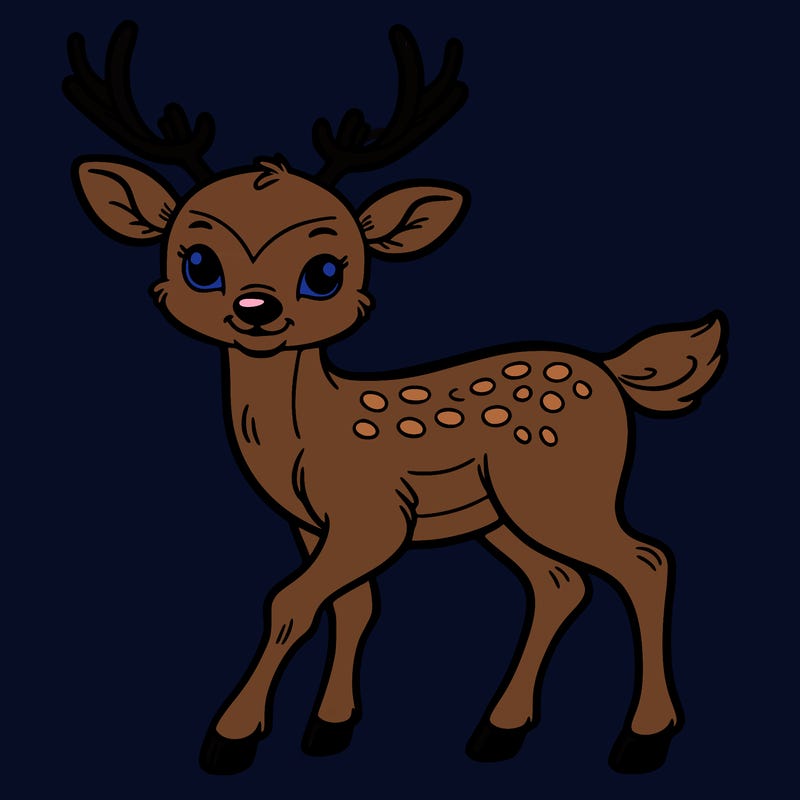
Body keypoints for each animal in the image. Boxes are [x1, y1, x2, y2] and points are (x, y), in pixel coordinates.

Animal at [64, 20, 727, 777]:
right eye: (199, 263)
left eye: (324, 271)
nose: (256, 310)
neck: (305, 438)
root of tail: (613, 373)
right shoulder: (313, 525)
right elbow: (353, 605)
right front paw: (329, 727)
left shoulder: (373, 515)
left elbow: (290, 601)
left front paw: (231, 737)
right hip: (503, 514)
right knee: (561, 582)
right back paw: (499, 729)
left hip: (562, 490)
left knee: (645, 561)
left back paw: (643, 738)